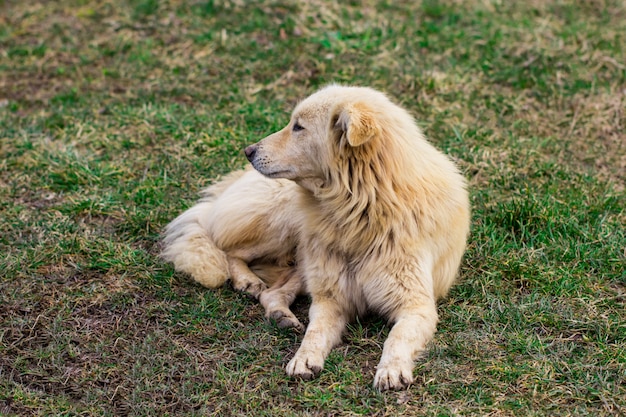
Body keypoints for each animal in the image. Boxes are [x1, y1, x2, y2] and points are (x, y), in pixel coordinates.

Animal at [162, 84, 468, 390]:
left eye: (298, 127)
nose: (248, 151)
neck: (361, 208)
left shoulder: (416, 306)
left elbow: (397, 337)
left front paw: (391, 369)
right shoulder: (330, 299)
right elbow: (315, 331)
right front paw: (304, 357)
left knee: (272, 291)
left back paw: (280, 314)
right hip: (282, 220)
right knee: (227, 249)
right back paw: (248, 281)